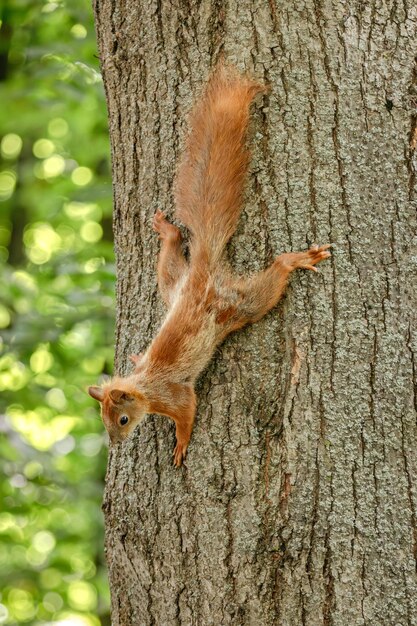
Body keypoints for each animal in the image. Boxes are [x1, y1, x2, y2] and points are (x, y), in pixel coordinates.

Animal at [88, 64, 332, 464]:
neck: (145, 386)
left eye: (122, 419)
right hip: (173, 284)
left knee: (272, 280)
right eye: (103, 419)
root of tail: (202, 271)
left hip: (237, 305)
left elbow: (187, 412)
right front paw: (136, 356)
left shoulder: (174, 395)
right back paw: (169, 232)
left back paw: (294, 260)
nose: (117, 444)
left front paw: (181, 444)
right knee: (172, 257)